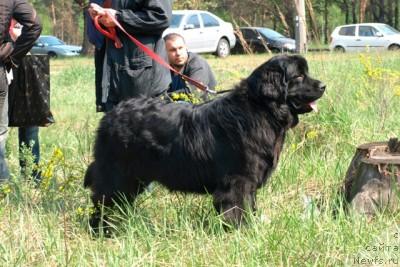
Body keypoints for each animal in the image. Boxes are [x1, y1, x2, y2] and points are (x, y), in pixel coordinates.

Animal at [84, 55, 324, 228]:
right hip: (117, 174)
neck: (261, 109)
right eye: (298, 76)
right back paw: (102, 230)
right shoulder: (238, 180)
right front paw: (241, 232)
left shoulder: (249, 182)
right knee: (103, 200)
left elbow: (250, 206)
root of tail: (110, 116)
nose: (323, 85)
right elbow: (237, 208)